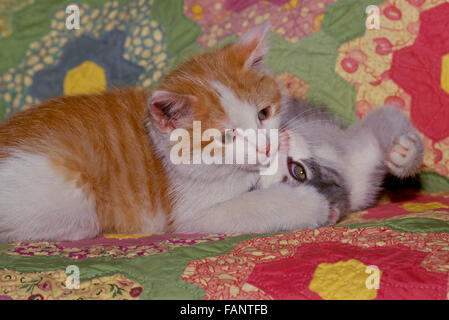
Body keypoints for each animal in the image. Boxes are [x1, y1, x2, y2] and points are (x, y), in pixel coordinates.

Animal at [0, 23, 298, 241]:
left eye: (264, 114)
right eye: (227, 137)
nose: (266, 146)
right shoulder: (189, 212)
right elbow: (251, 203)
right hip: (68, 192)